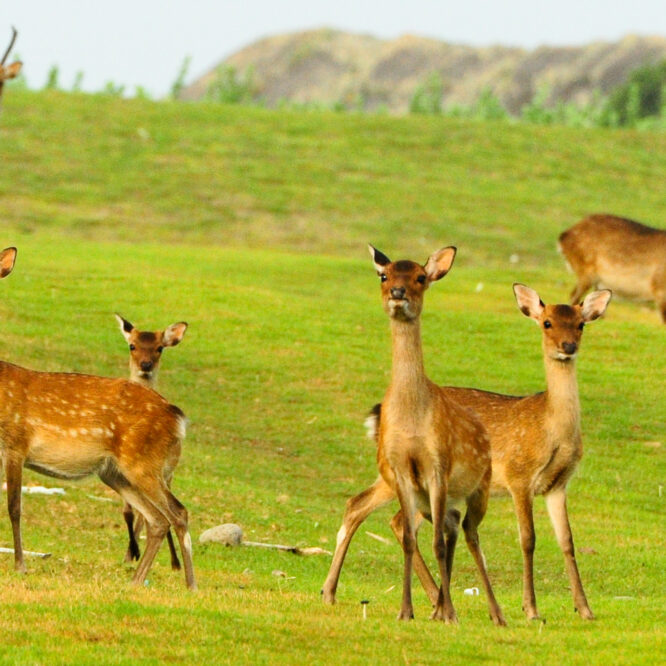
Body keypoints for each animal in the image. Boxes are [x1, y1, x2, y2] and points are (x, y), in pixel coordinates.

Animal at [114, 314, 187, 568]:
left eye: (159, 348)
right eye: (132, 345)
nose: (145, 365)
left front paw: (134, 552)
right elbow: (128, 511)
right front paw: (131, 552)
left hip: (167, 473)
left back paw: (173, 560)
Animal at [322, 244, 504, 624]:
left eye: (421, 277)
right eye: (384, 274)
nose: (397, 292)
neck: (411, 418)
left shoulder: (437, 465)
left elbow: (435, 542)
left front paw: (448, 612)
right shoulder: (402, 469)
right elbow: (408, 537)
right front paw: (408, 611)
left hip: (477, 487)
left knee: (468, 533)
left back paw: (491, 612)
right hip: (406, 485)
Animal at [330, 278, 608, 616]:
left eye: (581, 324)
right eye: (547, 323)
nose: (568, 347)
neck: (552, 431)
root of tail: (378, 415)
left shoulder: (557, 484)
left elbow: (567, 540)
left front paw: (585, 609)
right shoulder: (519, 475)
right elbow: (528, 539)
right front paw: (531, 609)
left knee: (370, 509)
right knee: (376, 512)